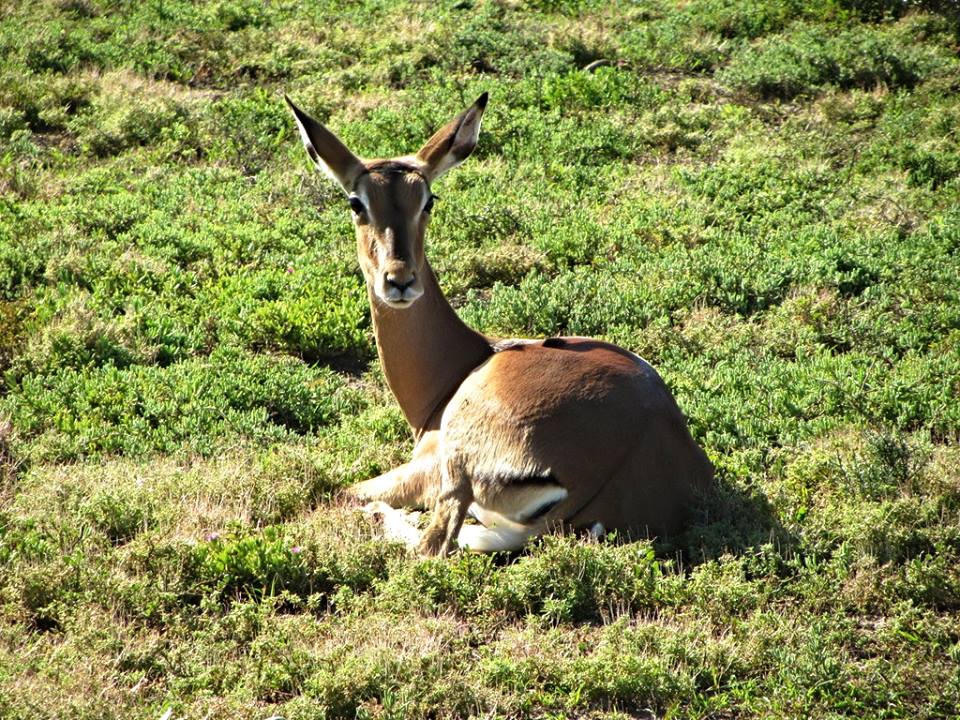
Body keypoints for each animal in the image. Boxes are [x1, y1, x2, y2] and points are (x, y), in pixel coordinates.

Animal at [286, 92, 713, 557]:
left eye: (428, 200)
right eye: (356, 202)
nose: (399, 280)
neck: (462, 365)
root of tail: (625, 461)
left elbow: (342, 493)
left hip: (455, 467)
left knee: (429, 543)